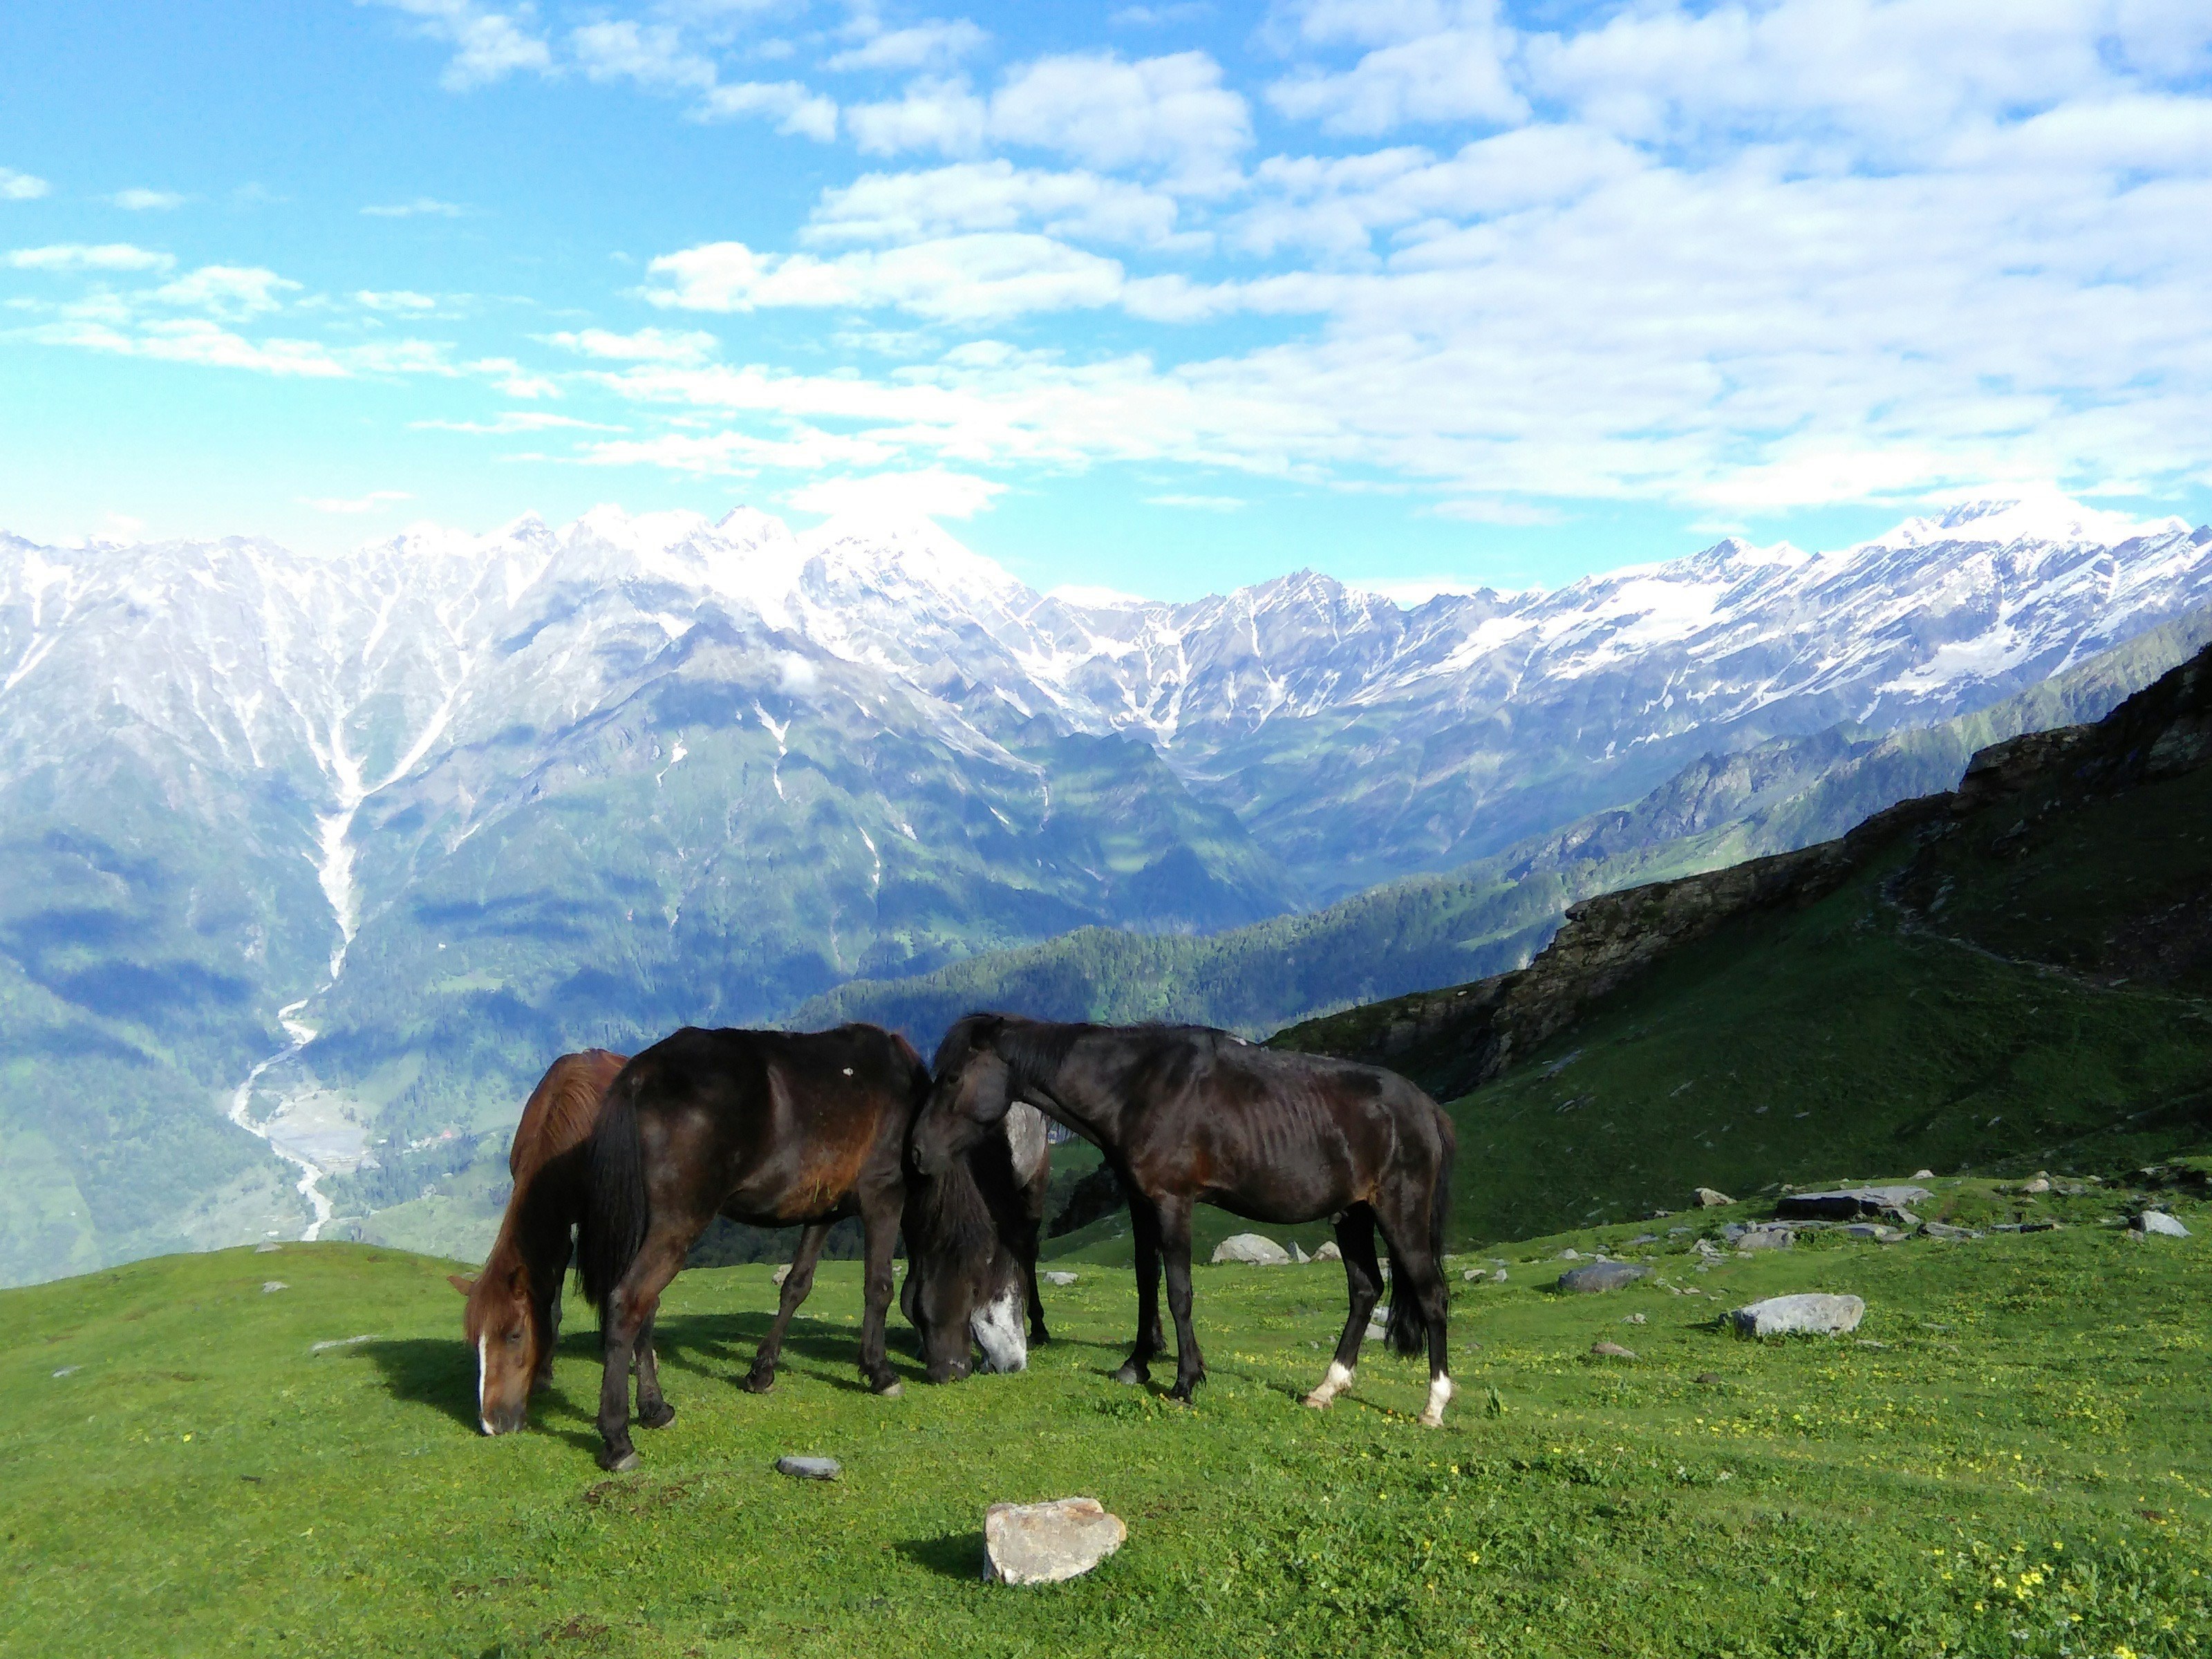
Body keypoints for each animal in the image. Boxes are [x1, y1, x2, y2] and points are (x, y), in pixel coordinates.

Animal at [911, 1014, 1462, 1428]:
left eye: (954, 1077)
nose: (916, 1151)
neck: (1137, 1085)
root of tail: (1427, 1109)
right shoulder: (1141, 1203)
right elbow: (1146, 1280)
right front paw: (1136, 1365)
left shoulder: (1173, 1202)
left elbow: (1179, 1290)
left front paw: (1185, 1380)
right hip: (1352, 1216)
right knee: (1366, 1289)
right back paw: (1326, 1388)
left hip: (1400, 1215)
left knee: (1432, 1295)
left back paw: (1433, 1406)